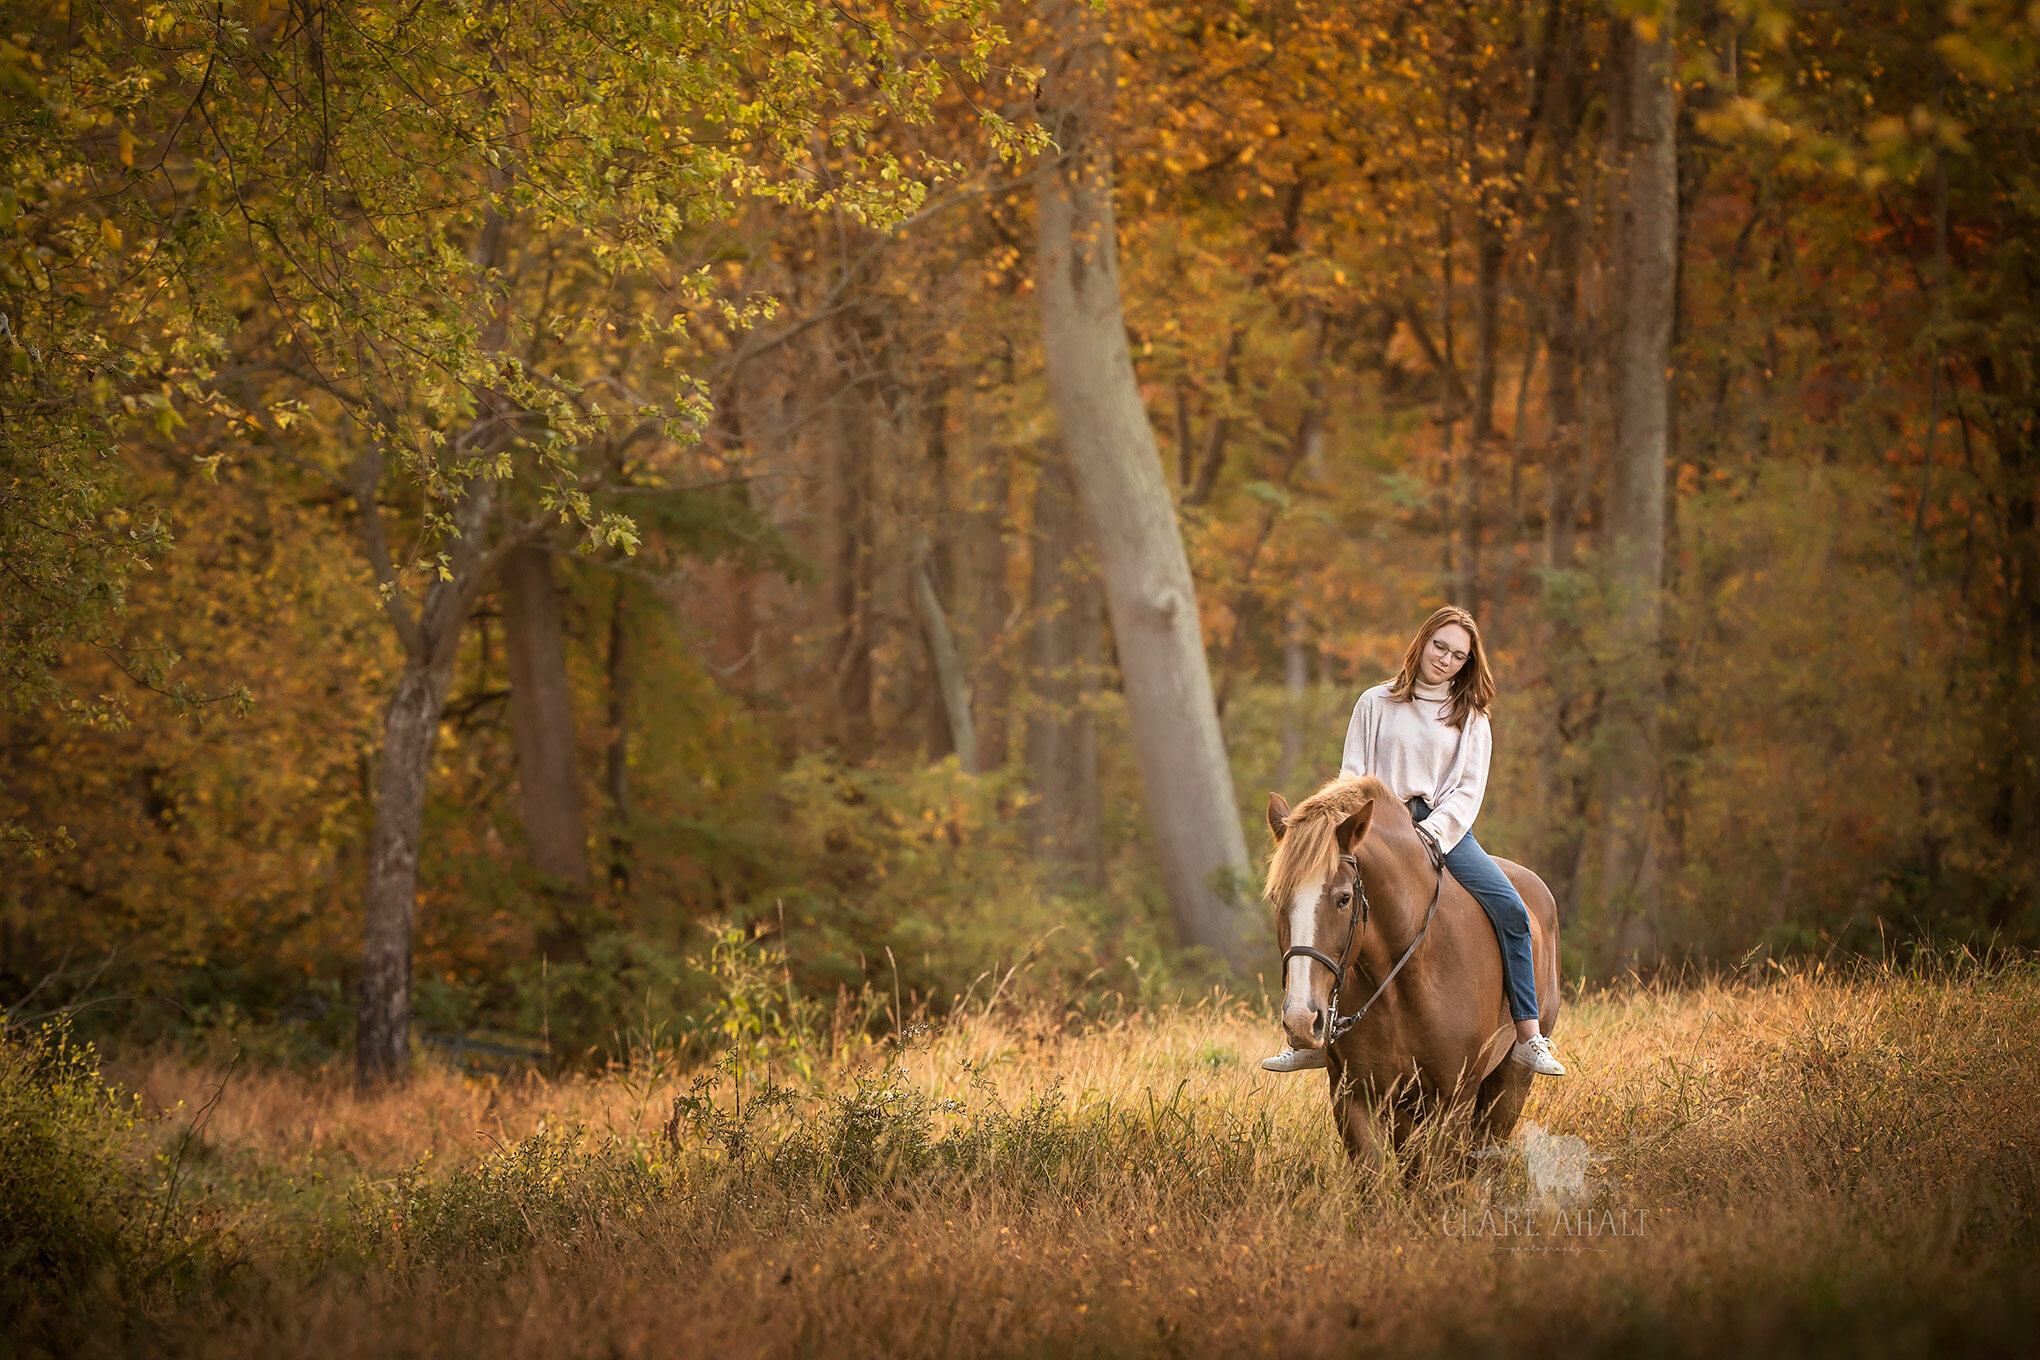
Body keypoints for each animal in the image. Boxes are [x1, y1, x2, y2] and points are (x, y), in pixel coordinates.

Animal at [1256, 774, 1558, 1174]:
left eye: (1344, 898)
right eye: (1278, 899)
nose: (1302, 1021)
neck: (1400, 983)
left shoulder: (1452, 1102)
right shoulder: (1357, 1098)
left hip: (1509, 1085)